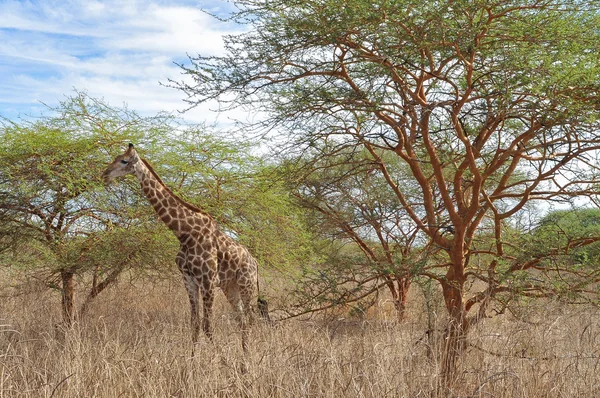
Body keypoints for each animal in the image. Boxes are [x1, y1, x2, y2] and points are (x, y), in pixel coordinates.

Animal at [101, 143, 268, 352]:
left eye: (124, 160)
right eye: (115, 158)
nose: (104, 174)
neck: (185, 234)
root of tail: (255, 262)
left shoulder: (207, 281)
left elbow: (207, 326)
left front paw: (221, 359)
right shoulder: (189, 280)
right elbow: (195, 325)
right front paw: (193, 360)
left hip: (247, 285)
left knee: (251, 318)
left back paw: (249, 355)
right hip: (230, 288)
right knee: (242, 320)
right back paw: (244, 356)